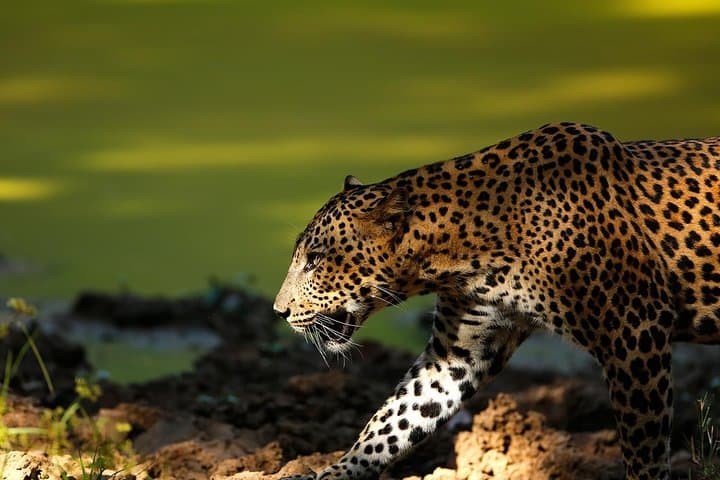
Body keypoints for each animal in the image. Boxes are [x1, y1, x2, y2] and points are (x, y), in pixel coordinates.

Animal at [274, 122, 720, 480]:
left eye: (314, 260)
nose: (279, 311)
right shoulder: (459, 353)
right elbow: (394, 419)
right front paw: (335, 472)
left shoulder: (633, 333)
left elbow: (644, 446)